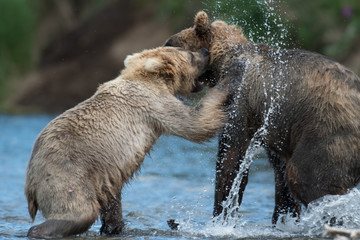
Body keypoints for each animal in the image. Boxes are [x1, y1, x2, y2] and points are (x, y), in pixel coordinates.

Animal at [165, 11, 360, 225]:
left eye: (170, 44)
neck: (225, 60)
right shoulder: (276, 125)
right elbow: (279, 173)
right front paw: (283, 218)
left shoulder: (240, 97)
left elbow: (231, 158)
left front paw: (221, 216)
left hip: (327, 131)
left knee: (306, 177)